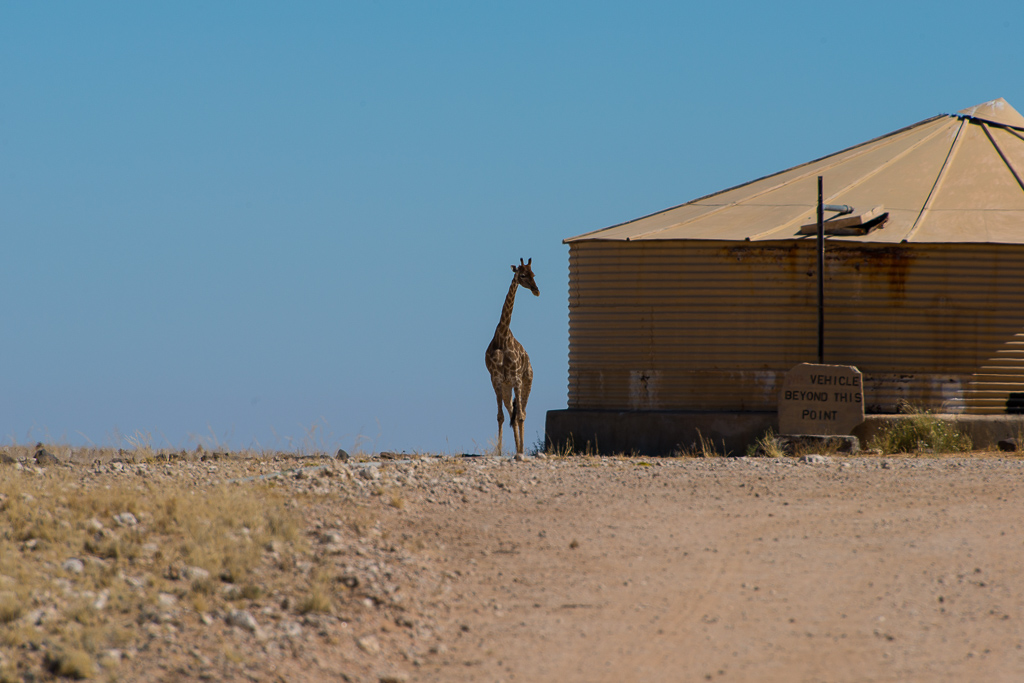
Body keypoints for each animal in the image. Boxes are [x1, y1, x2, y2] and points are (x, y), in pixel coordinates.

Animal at [485, 258, 539, 456]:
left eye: (533, 274)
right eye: (522, 275)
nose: (536, 290)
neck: (502, 337)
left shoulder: (516, 378)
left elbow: (520, 416)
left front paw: (520, 450)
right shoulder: (496, 379)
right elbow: (501, 417)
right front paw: (499, 452)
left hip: (527, 382)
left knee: (523, 413)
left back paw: (521, 449)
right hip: (507, 388)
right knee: (512, 414)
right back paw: (517, 447)